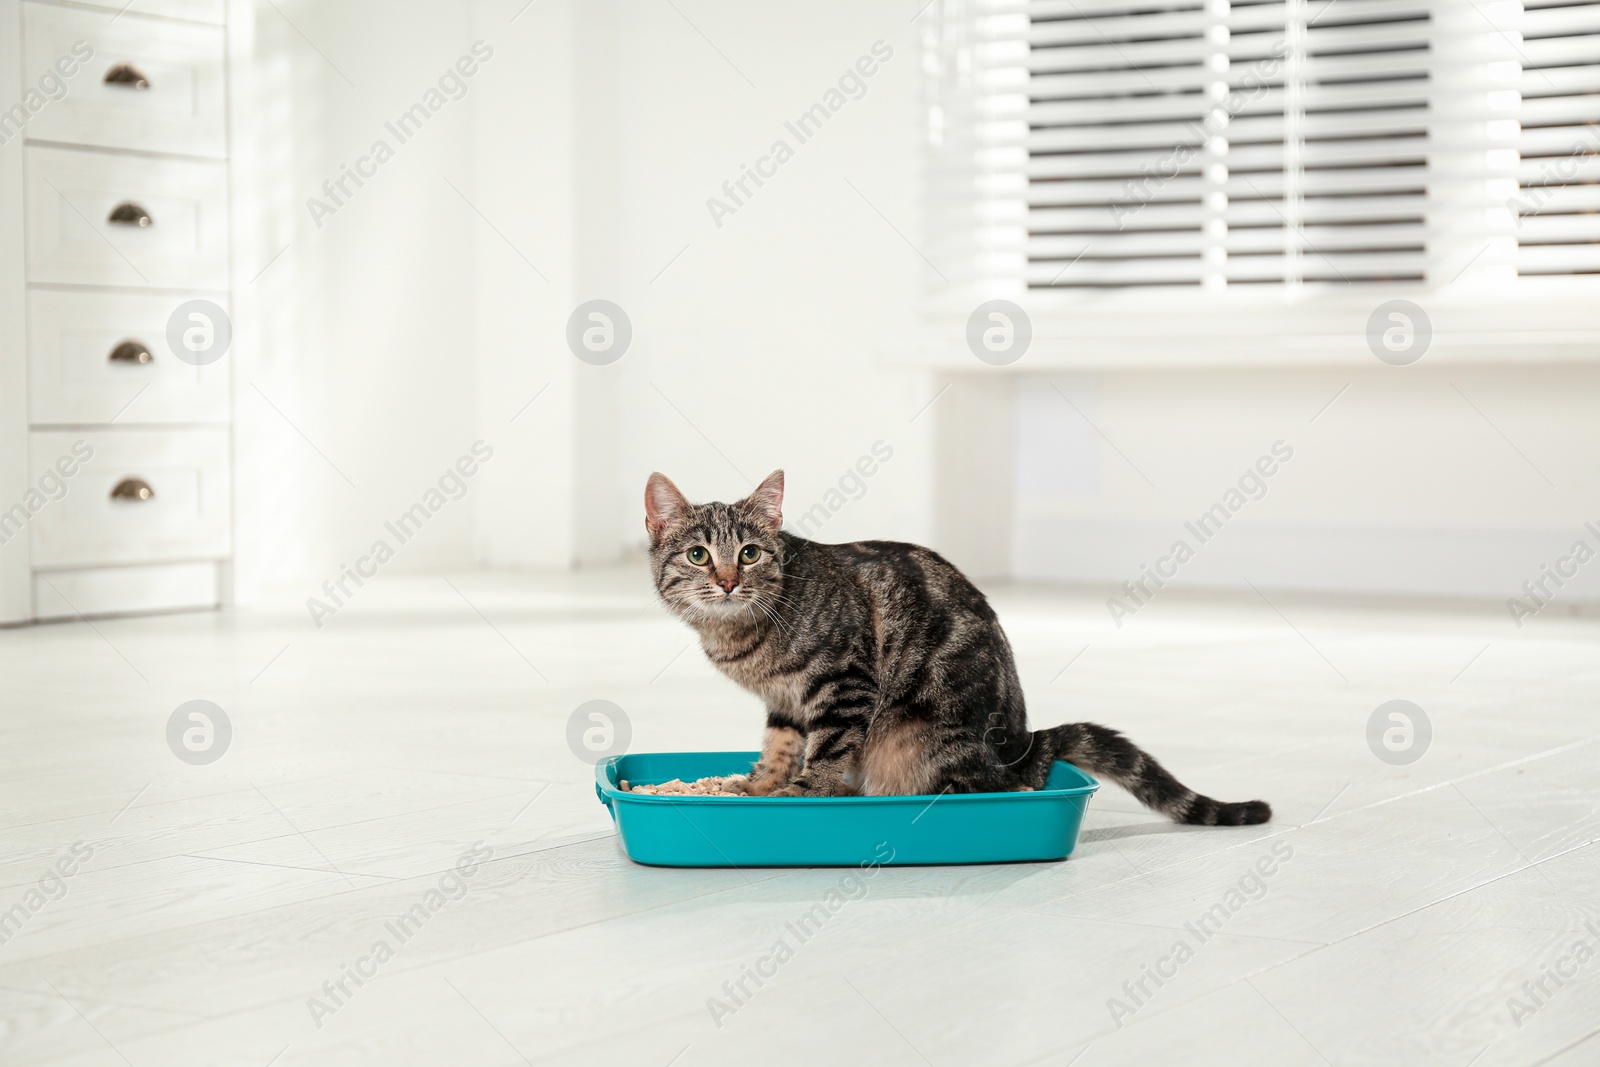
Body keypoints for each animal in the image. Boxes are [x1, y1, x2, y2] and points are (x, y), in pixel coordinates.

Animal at [643, 470, 1267, 825]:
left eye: (750, 554)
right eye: (699, 555)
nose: (728, 581)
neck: (741, 636)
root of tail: (1022, 749)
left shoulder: (844, 684)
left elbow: (824, 753)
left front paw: (800, 794)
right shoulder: (786, 702)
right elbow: (779, 746)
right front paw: (758, 785)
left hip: (919, 735)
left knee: (971, 787)